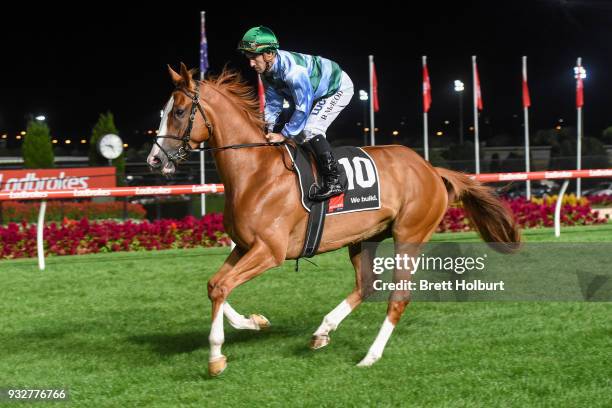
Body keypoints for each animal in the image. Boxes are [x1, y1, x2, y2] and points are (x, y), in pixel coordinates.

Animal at [146, 63, 520, 376]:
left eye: (179, 111)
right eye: (162, 112)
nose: (154, 160)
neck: (256, 173)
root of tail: (429, 168)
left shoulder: (270, 251)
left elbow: (223, 286)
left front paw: (215, 357)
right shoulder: (244, 245)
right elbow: (215, 285)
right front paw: (255, 322)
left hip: (409, 234)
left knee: (398, 296)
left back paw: (370, 355)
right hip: (365, 238)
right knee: (366, 285)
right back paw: (323, 331)